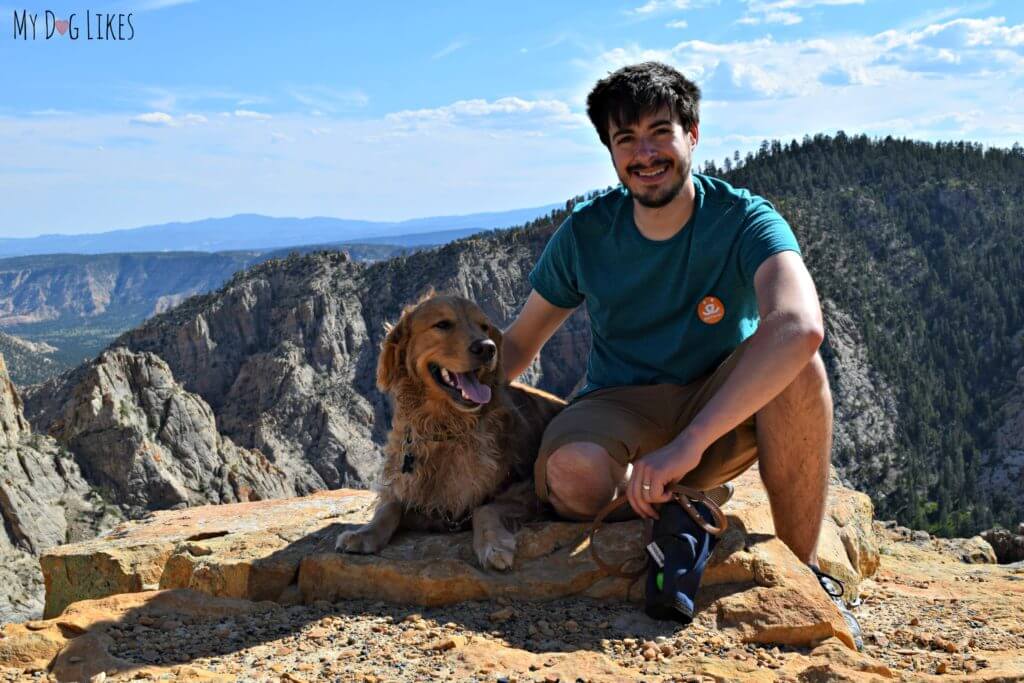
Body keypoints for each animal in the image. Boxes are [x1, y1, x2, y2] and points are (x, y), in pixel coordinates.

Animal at [335, 290, 565, 569]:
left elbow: (484, 508)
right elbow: (390, 507)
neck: (444, 428)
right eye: (442, 324)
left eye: (484, 326)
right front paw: (363, 534)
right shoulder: (413, 490)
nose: (487, 348)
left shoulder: (529, 489)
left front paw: (494, 545)